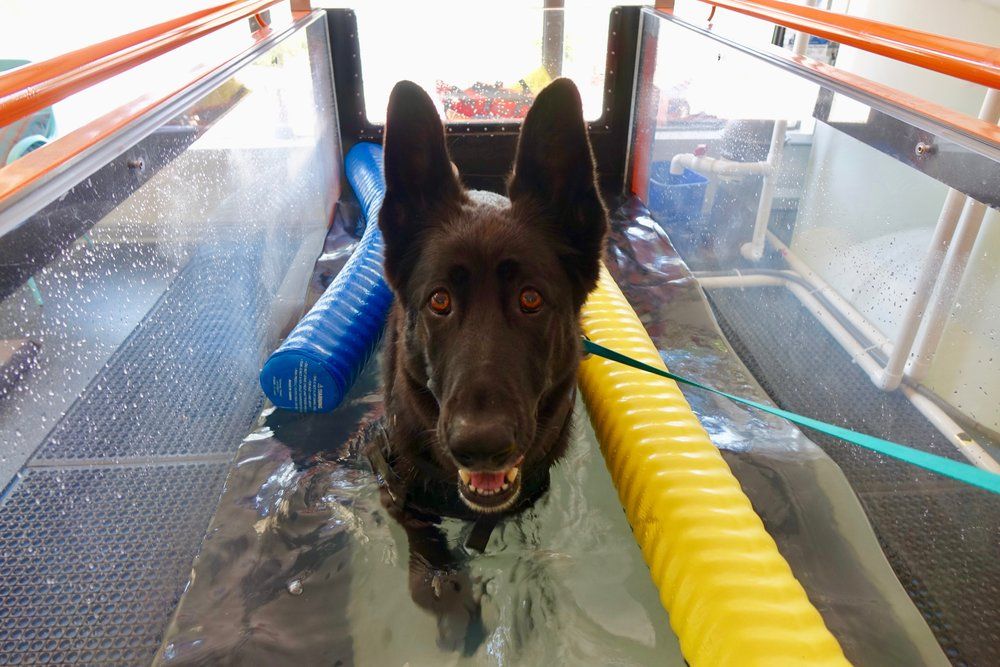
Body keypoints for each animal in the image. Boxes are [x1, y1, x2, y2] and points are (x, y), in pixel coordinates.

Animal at [368, 78, 604, 652]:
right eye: (439, 301)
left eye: (530, 300)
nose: (480, 445)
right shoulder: (393, 482)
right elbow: (429, 553)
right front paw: (450, 598)